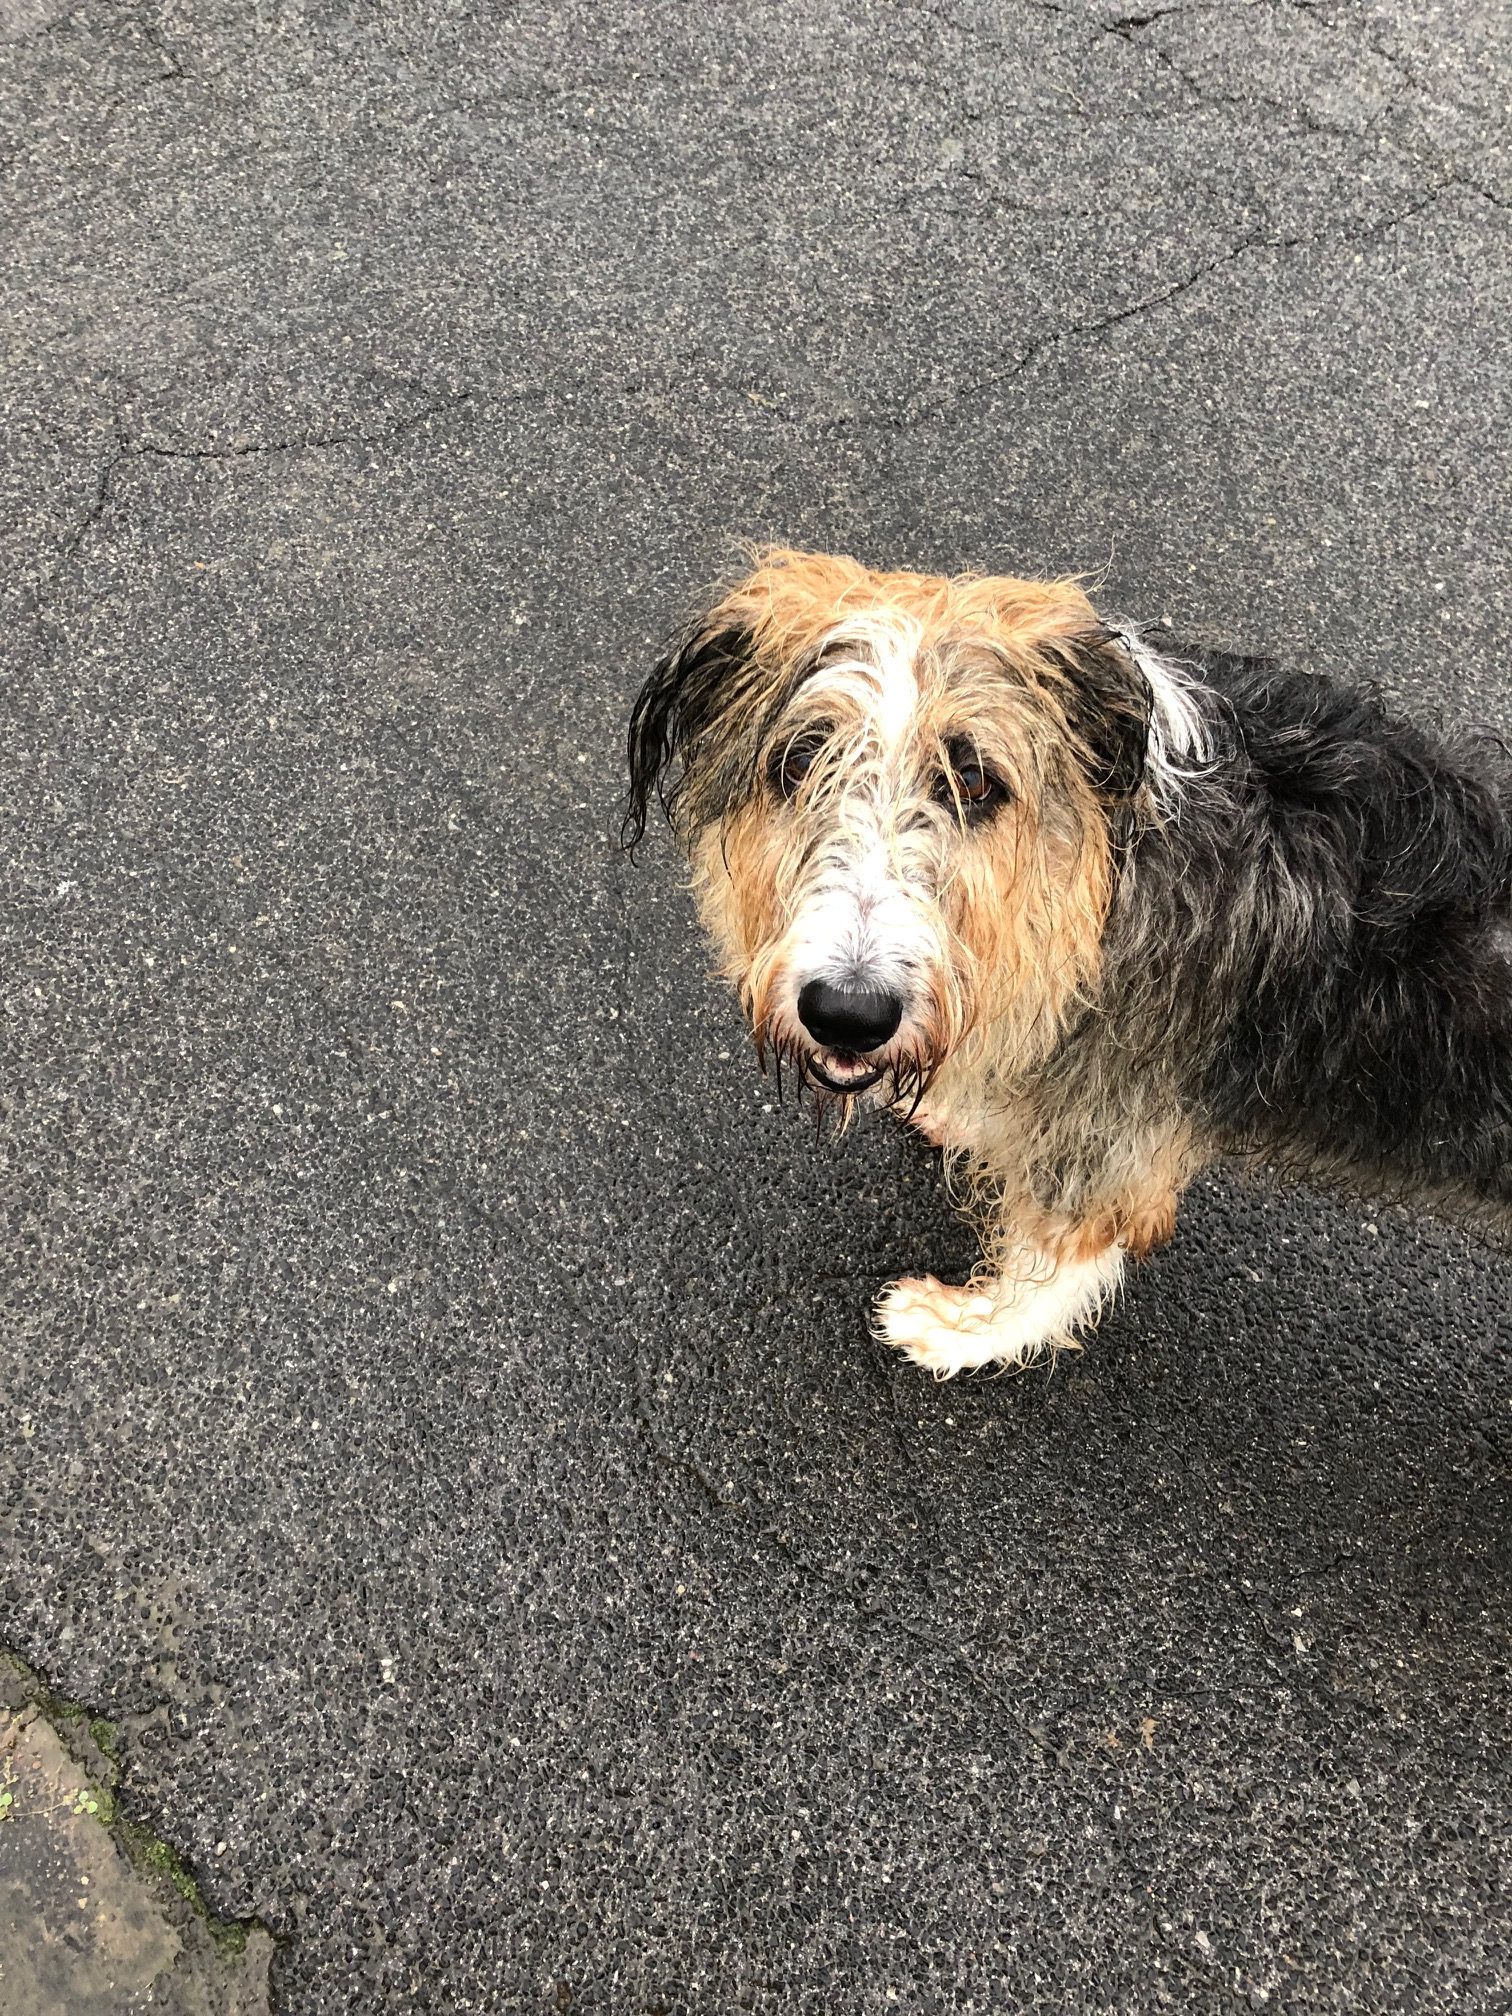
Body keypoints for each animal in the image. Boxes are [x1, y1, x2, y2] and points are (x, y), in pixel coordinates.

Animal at [624, 547, 1512, 1377]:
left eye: (976, 781)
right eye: (800, 761)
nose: (849, 1014)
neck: (1108, 883)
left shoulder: (1106, 1139)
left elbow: (1056, 1260)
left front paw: (964, 1330)